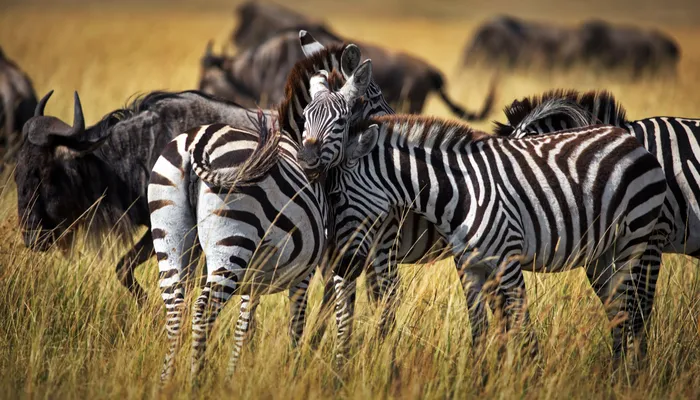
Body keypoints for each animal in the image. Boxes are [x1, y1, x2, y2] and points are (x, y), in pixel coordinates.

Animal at [301, 75, 668, 368]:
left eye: (337, 198)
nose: (341, 266)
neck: (459, 193)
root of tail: (626, 137)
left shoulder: (508, 262)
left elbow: (523, 327)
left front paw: (532, 378)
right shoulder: (470, 267)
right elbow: (479, 332)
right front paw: (481, 379)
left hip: (633, 240)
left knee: (633, 308)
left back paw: (628, 374)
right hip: (603, 251)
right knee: (618, 309)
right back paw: (618, 371)